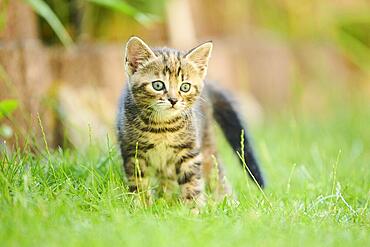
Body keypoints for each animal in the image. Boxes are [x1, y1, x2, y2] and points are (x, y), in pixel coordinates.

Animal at [117, 37, 264, 206]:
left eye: (185, 87)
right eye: (158, 85)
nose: (173, 100)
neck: (162, 127)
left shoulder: (189, 150)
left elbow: (192, 180)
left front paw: (193, 207)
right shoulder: (133, 151)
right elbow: (139, 181)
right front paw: (142, 205)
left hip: (206, 144)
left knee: (217, 173)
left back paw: (226, 200)